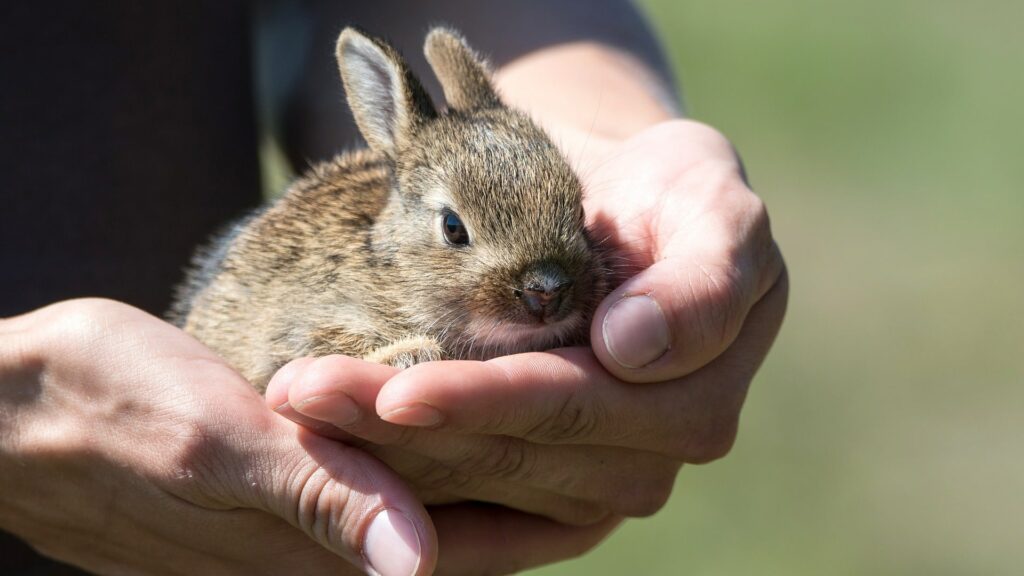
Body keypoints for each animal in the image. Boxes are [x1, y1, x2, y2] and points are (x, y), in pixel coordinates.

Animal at [169, 25, 606, 385]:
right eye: (453, 228)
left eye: (580, 211)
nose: (546, 290)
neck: (394, 272)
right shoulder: (299, 330)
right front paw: (412, 353)